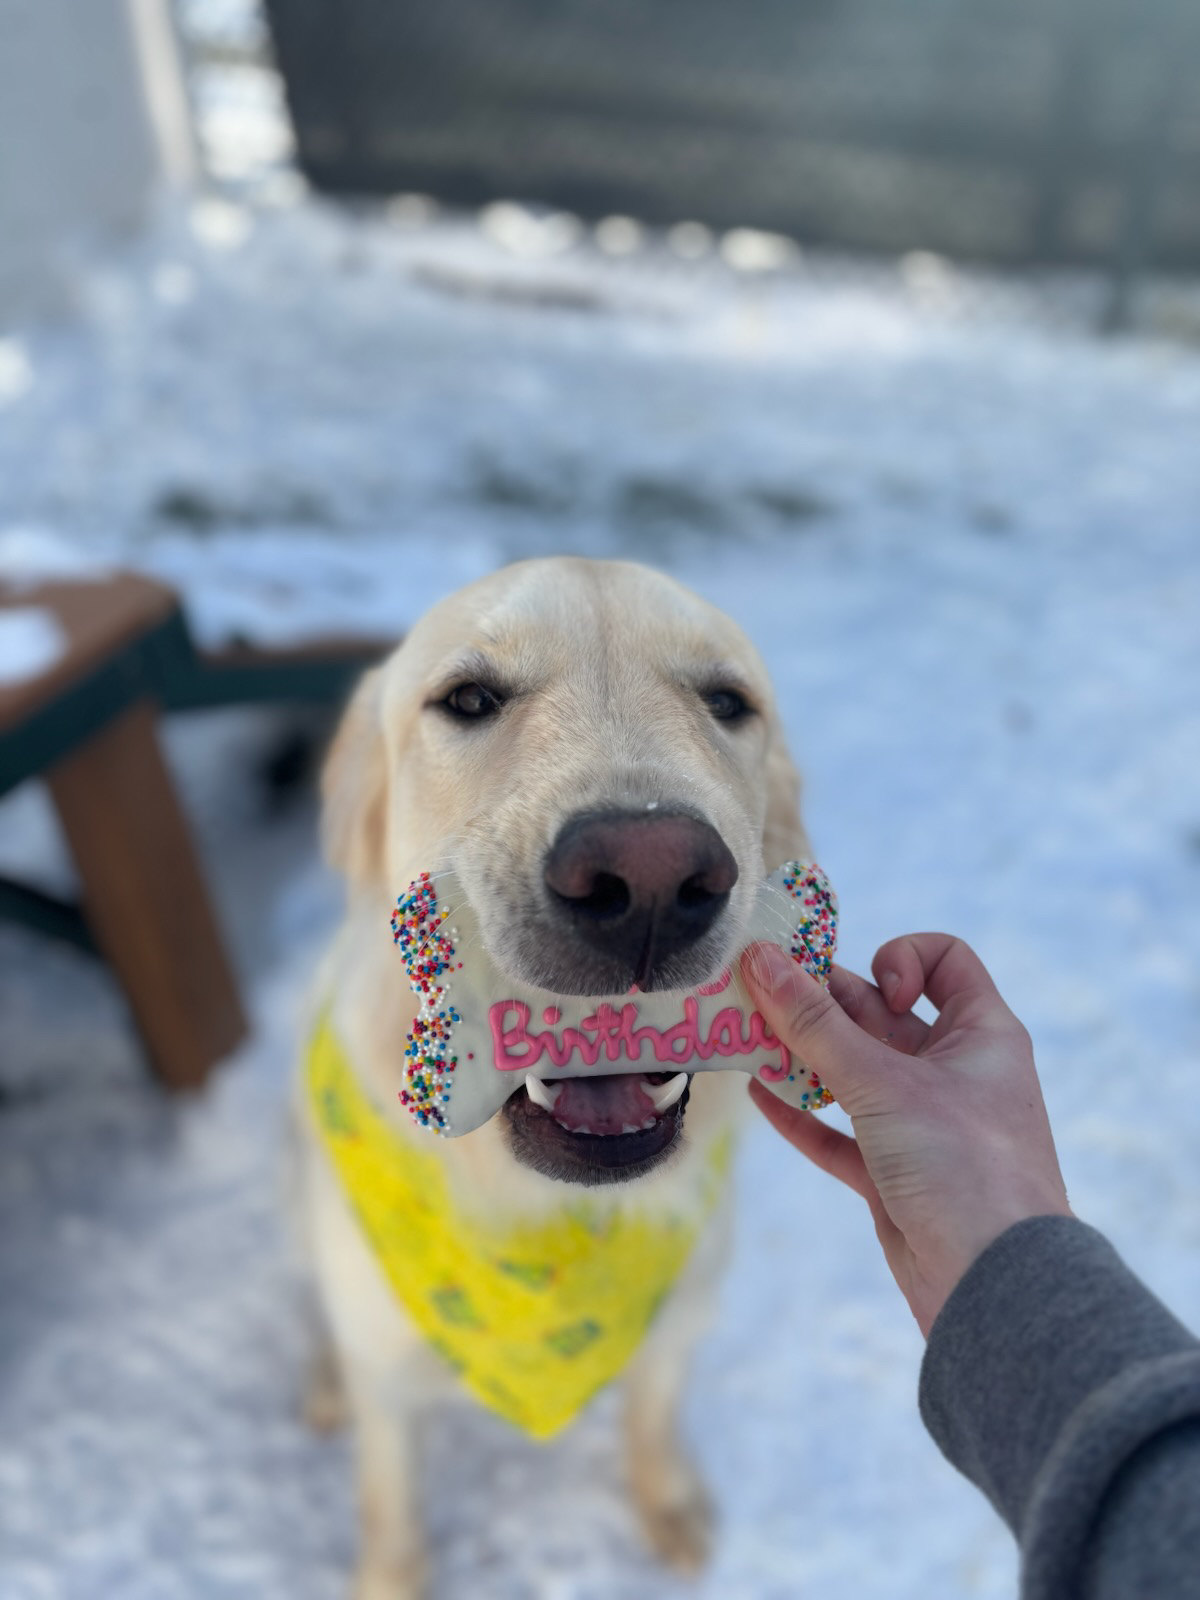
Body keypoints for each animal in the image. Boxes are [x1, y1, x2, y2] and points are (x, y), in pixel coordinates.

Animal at [295, 557, 809, 1600]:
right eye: (468, 699)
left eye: (727, 702)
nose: (650, 881)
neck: (542, 1227)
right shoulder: (389, 1383)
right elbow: (390, 1502)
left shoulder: (679, 1319)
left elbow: (653, 1412)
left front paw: (667, 1500)